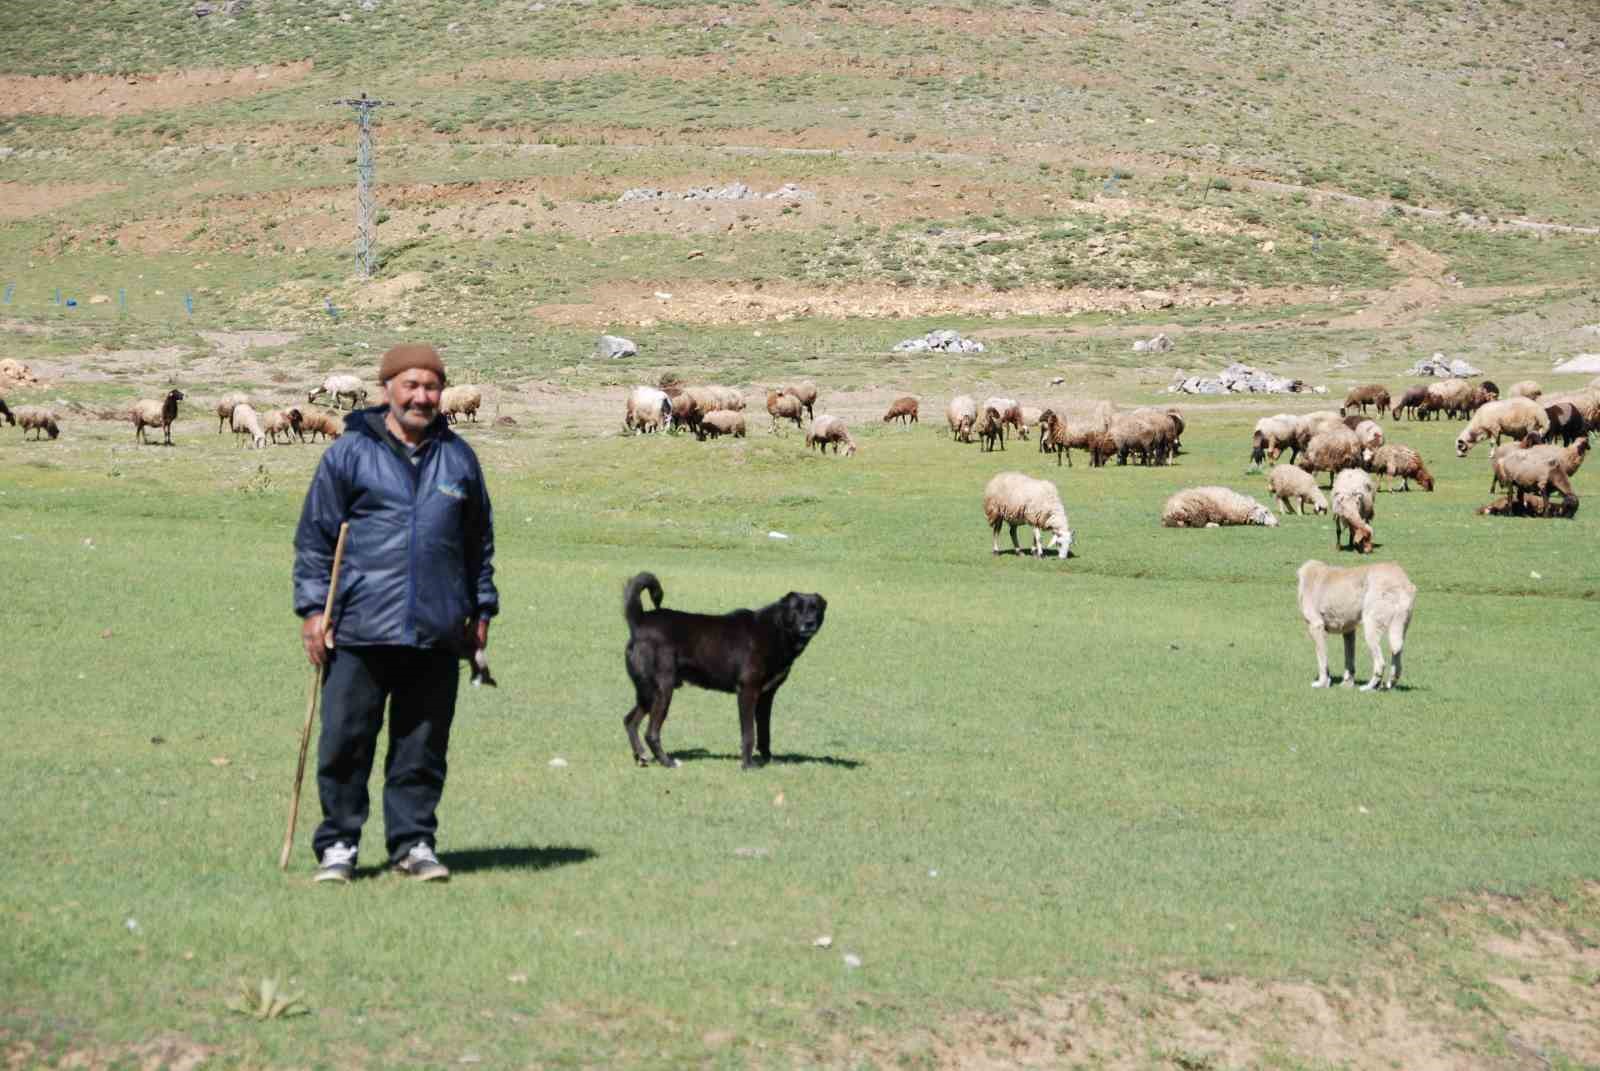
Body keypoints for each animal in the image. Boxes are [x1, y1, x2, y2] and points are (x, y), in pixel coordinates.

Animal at [620, 566, 832, 768]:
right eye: (796, 609)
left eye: (815, 609)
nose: (809, 623)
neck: (777, 628)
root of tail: (639, 621)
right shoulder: (747, 691)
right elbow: (749, 734)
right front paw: (748, 765)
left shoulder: (766, 696)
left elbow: (765, 734)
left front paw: (768, 760)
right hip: (663, 689)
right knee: (651, 733)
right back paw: (668, 762)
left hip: (649, 692)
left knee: (630, 721)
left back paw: (641, 756)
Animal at [1292, 557, 1420, 688]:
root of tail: (1402, 580)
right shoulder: (1349, 630)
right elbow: (1349, 659)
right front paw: (1347, 684)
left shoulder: (1316, 626)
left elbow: (1322, 660)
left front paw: (1322, 683)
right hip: (1399, 629)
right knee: (1397, 657)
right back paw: (1388, 685)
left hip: (1370, 627)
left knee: (1380, 663)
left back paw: (1369, 687)